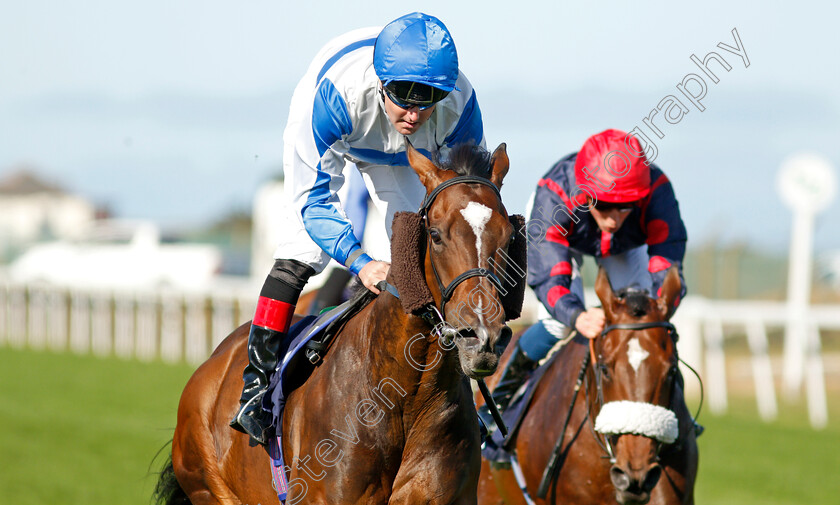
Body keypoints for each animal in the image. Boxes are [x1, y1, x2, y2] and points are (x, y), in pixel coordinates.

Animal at [153, 143, 524, 504]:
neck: (403, 397)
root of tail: (213, 362)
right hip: (208, 487)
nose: (482, 337)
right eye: (435, 235)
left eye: (508, 237)